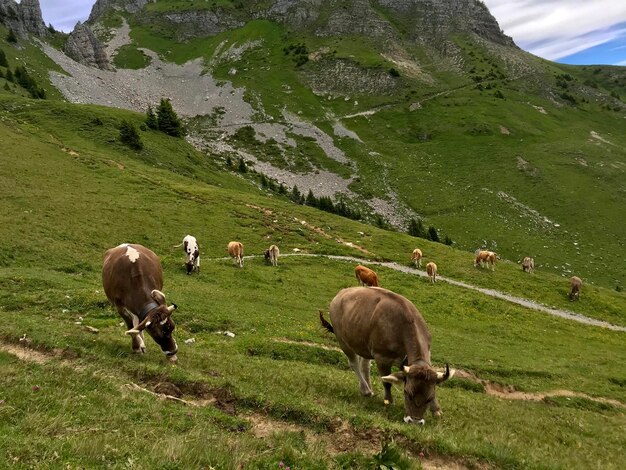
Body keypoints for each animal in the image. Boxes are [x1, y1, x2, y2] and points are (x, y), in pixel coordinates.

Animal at [320, 286, 450, 426]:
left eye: (429, 398)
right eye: (407, 392)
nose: (415, 421)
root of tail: (342, 292)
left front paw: (436, 410)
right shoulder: (382, 358)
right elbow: (386, 382)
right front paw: (389, 401)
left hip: (363, 344)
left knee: (364, 365)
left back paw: (367, 388)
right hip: (342, 340)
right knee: (354, 364)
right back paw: (366, 390)